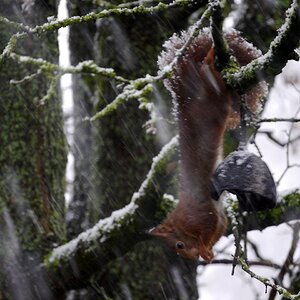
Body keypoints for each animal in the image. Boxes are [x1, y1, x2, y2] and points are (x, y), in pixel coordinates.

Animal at [150, 29, 268, 262]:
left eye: (179, 245)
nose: (192, 257)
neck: (184, 219)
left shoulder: (204, 214)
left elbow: (211, 229)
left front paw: (205, 250)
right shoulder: (219, 218)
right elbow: (220, 229)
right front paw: (209, 252)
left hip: (213, 98)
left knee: (208, 71)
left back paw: (211, 57)